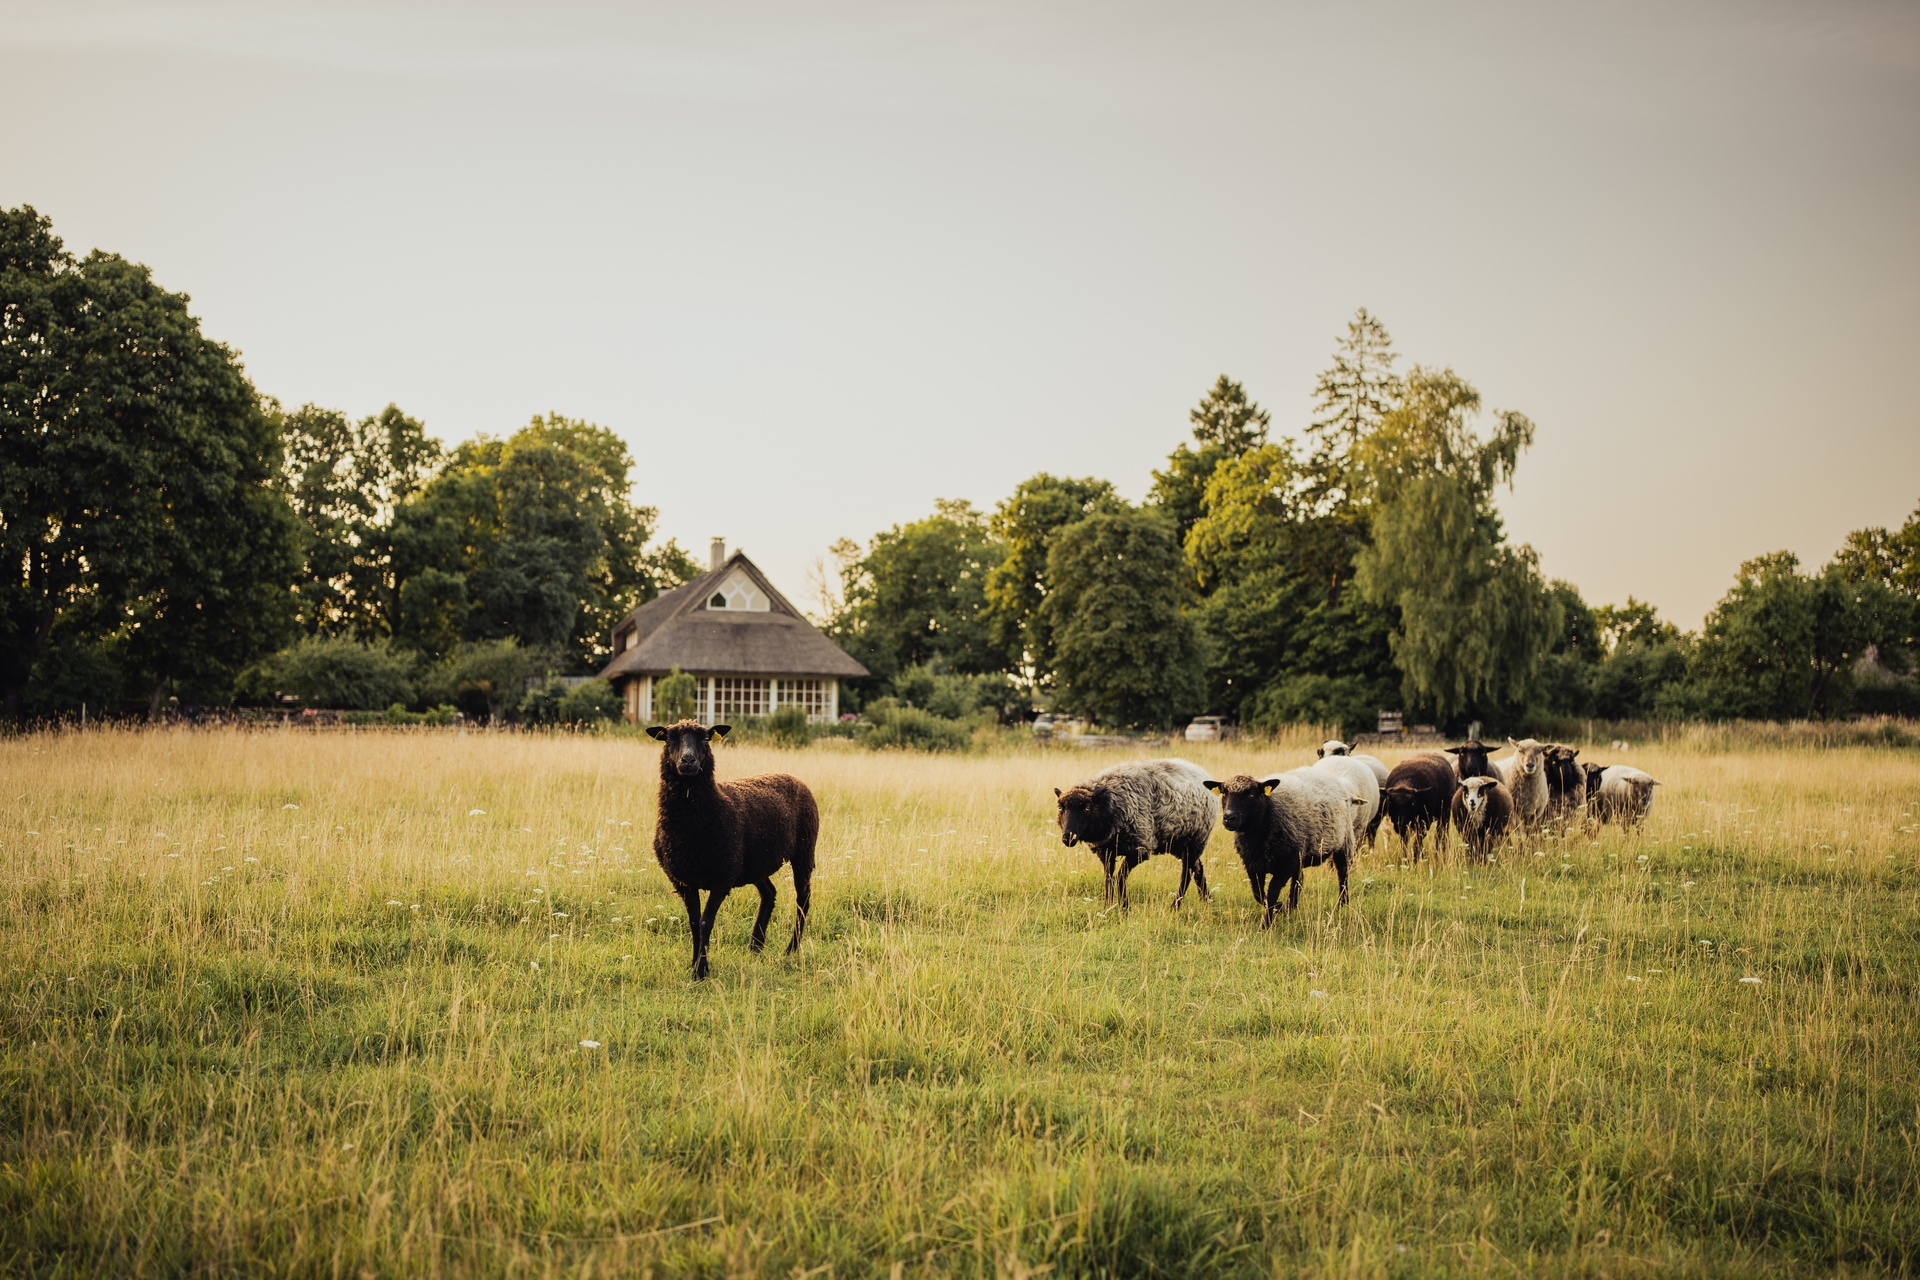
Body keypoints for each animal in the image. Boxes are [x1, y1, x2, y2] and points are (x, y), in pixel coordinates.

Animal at [652, 721, 817, 982]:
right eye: (669, 738)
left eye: (706, 739)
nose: (688, 761)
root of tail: (793, 776)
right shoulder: (683, 880)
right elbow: (693, 922)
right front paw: (694, 966)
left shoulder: (722, 878)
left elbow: (705, 922)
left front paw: (701, 970)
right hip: (756, 864)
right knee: (769, 893)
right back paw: (756, 945)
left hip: (804, 851)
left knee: (803, 900)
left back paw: (791, 949)